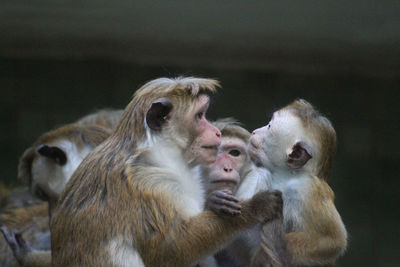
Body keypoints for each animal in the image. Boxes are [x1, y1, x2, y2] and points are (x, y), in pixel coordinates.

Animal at [49, 76, 282, 266]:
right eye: (200, 115)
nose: (216, 132)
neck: (157, 150)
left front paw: (215, 202)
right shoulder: (153, 182)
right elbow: (171, 250)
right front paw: (254, 207)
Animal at [248, 99, 348, 266]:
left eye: (269, 126)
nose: (255, 131)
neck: (286, 175)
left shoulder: (306, 189)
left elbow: (334, 240)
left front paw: (281, 249)